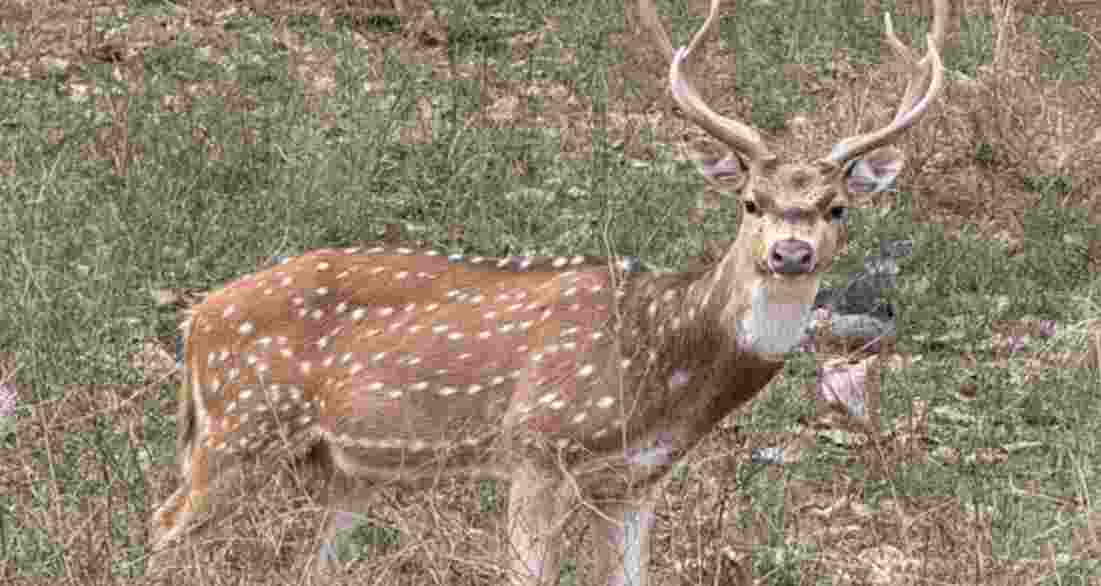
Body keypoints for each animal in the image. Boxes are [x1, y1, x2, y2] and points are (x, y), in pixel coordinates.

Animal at [149, 0, 946, 583]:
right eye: (750, 201)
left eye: (836, 208)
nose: (790, 252)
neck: (661, 367)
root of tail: (197, 319)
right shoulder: (537, 445)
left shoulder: (636, 481)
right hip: (239, 423)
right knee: (161, 527)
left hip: (343, 467)